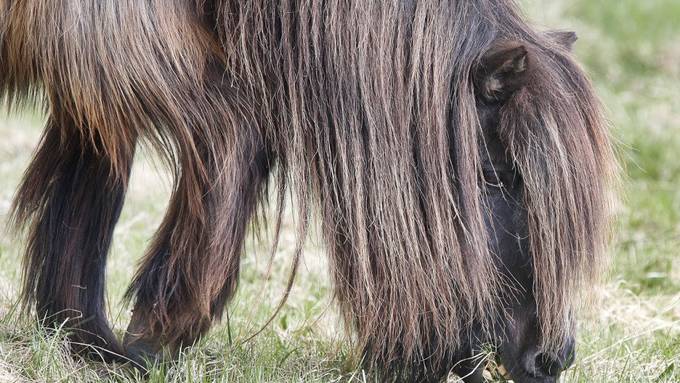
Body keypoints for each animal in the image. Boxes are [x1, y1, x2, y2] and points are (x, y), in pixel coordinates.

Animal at [1, 0, 616, 382]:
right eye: (496, 175)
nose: (551, 357)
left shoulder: (96, 80)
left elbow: (85, 193)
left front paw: (86, 340)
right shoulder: (110, 49)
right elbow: (240, 134)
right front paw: (153, 337)